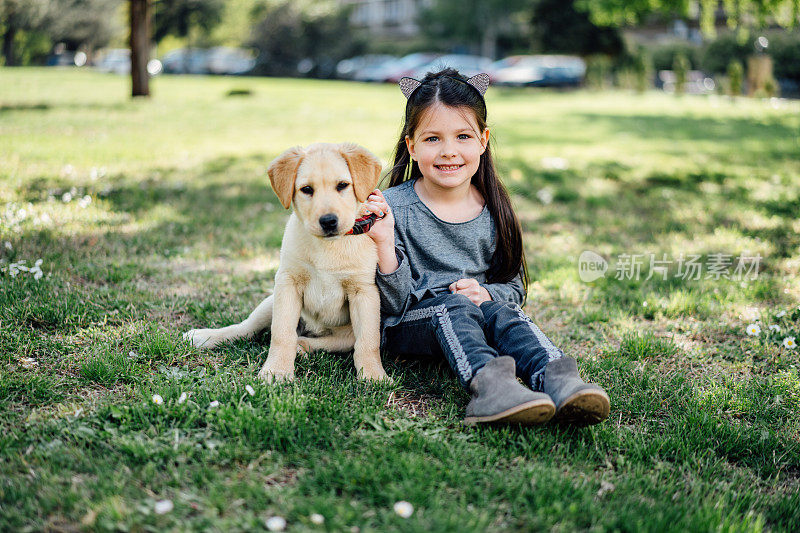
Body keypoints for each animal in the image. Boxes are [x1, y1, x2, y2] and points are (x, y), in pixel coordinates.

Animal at [185, 142, 390, 382]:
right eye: (307, 189)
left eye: (342, 185)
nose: (328, 221)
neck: (327, 247)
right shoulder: (287, 283)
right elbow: (281, 333)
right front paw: (277, 371)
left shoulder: (364, 292)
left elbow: (368, 341)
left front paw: (374, 375)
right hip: (270, 302)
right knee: (245, 328)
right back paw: (204, 336)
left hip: (345, 333)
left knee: (329, 342)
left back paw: (301, 346)